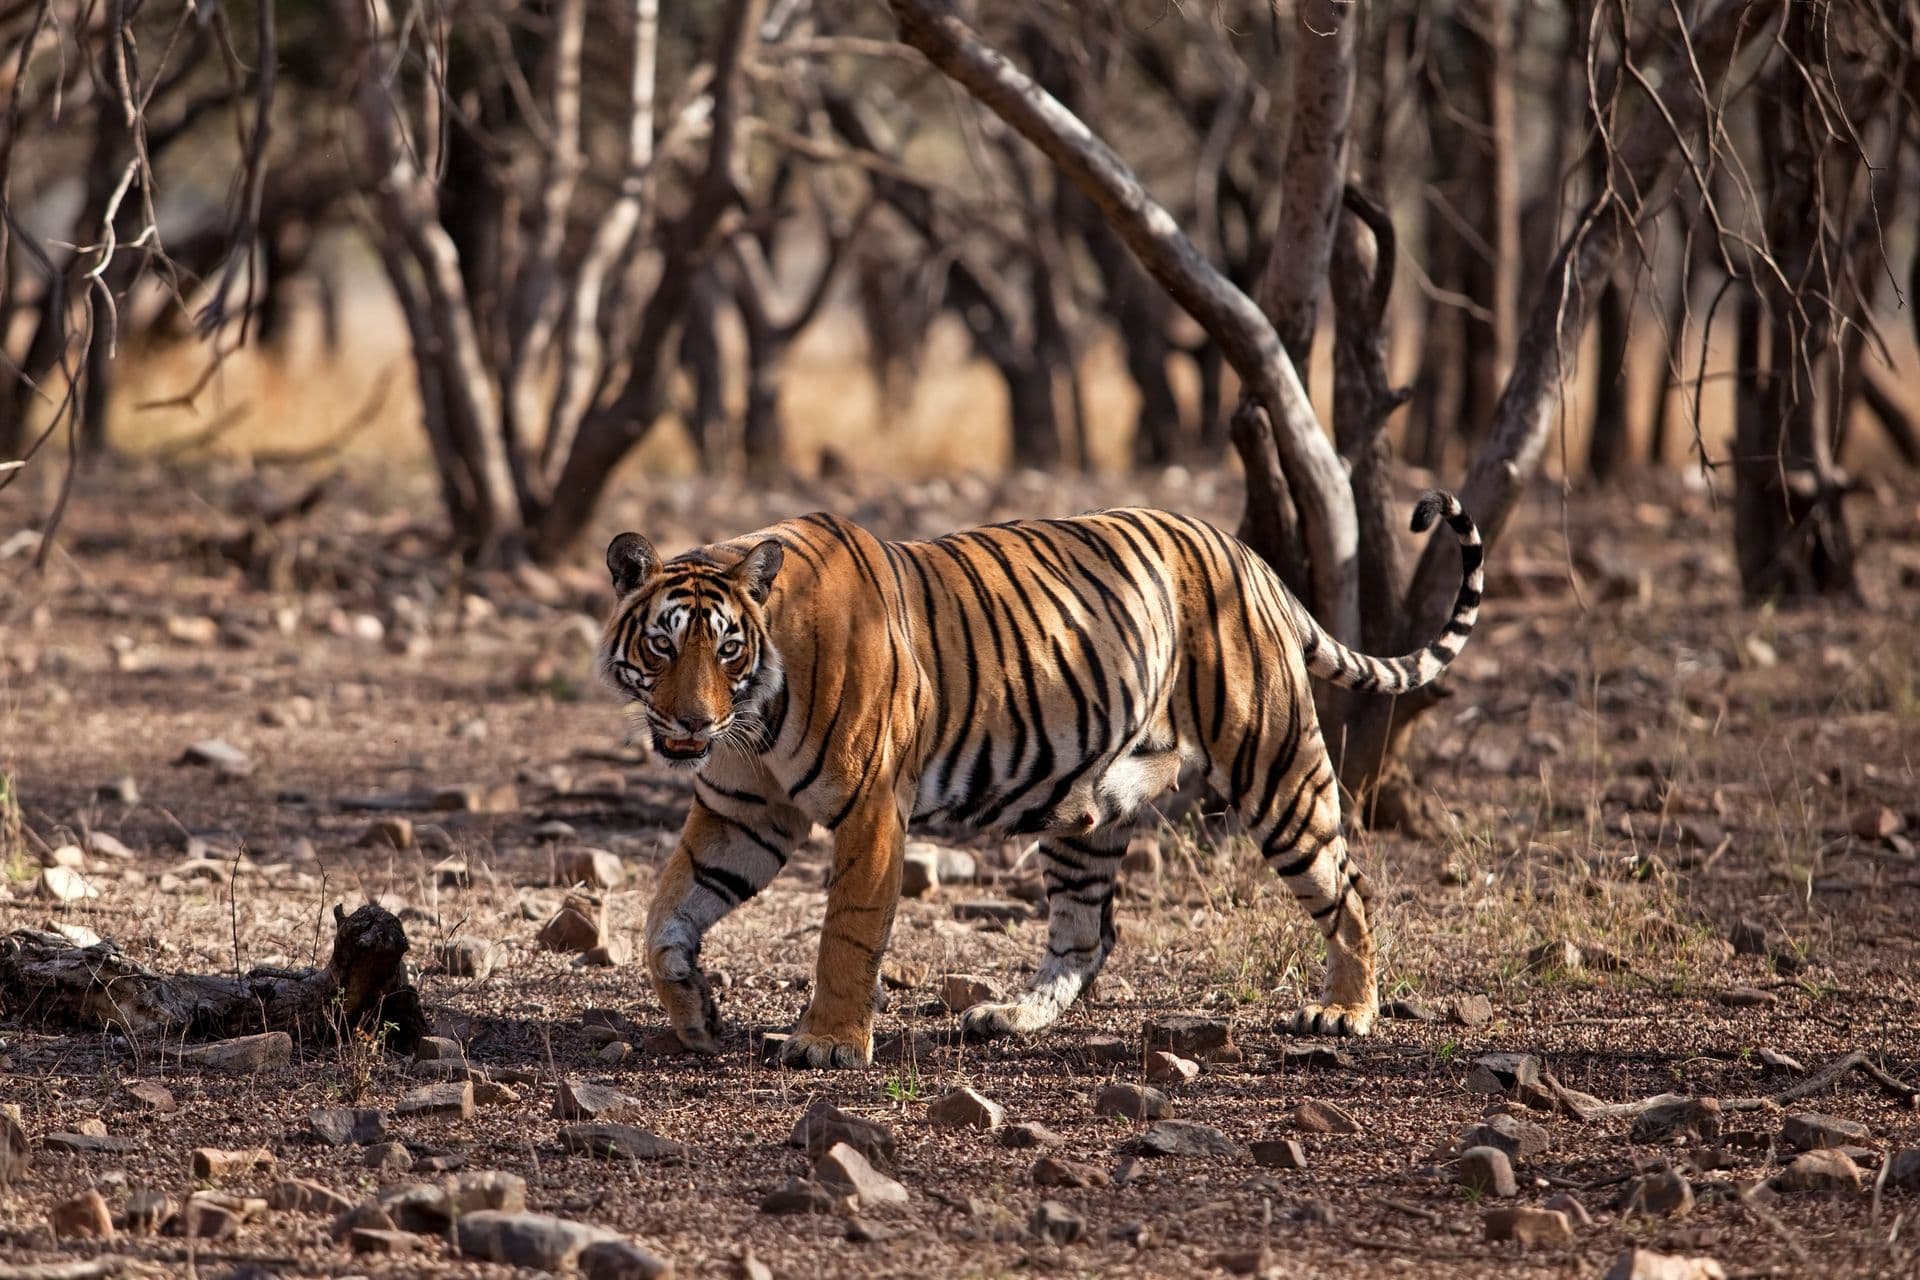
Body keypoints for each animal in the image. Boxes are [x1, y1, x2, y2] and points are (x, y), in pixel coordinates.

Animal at [596, 493, 1483, 1068]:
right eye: (664, 645)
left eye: (728, 648)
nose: (691, 723)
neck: (755, 713)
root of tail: (1253, 559)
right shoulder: (741, 812)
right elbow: (664, 919)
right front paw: (697, 1014)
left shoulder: (872, 808)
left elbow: (846, 931)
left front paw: (829, 1043)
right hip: (1087, 805)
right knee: (1087, 935)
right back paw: (1010, 1016)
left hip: (1276, 767)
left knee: (1348, 886)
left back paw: (1345, 1012)